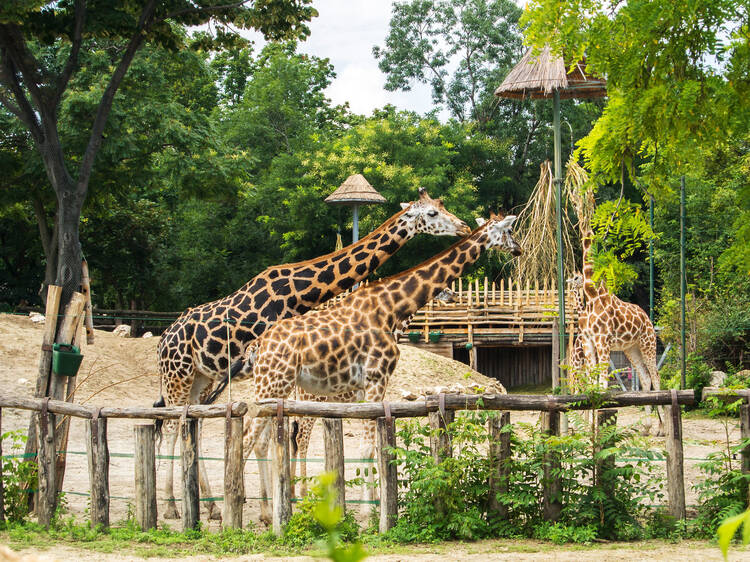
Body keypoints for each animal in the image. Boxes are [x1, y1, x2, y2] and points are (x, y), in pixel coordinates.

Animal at [288, 284, 458, 494]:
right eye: (444, 288)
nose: (454, 295)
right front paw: (373, 495)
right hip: (312, 399)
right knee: (302, 437)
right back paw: (303, 491)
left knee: (292, 435)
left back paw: (292, 490)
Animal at [580, 231, 668, 434]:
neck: (592, 296)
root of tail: (647, 318)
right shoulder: (588, 342)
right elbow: (592, 383)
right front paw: (589, 428)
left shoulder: (602, 342)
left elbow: (602, 383)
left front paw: (598, 427)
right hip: (631, 348)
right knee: (645, 378)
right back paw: (647, 427)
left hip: (648, 344)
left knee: (655, 376)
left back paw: (662, 428)